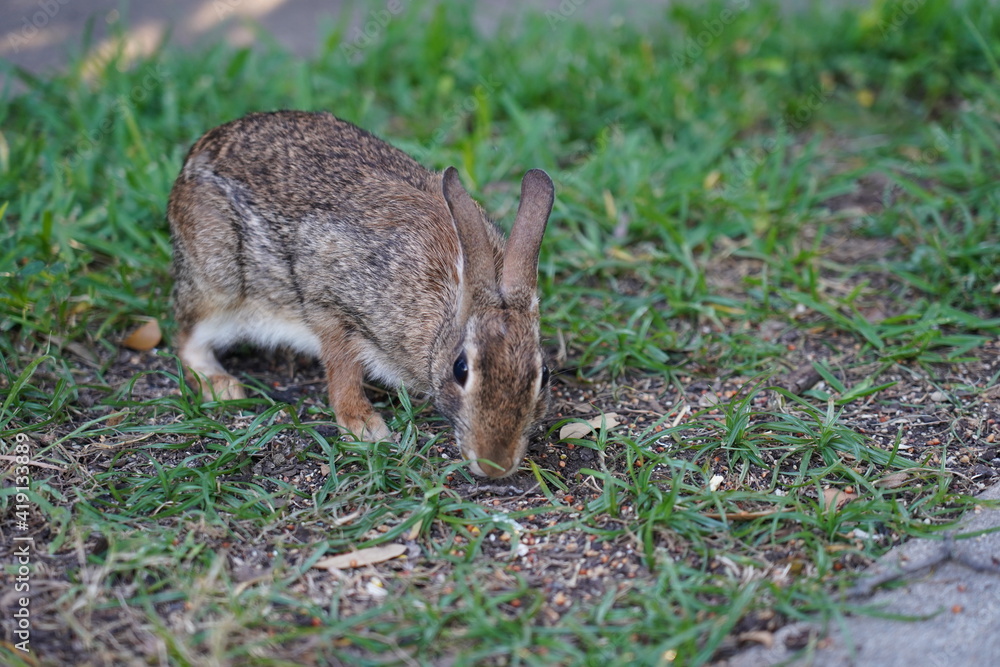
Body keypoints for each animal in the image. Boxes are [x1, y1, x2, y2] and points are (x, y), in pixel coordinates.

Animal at [168, 110, 554, 478]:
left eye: (544, 374)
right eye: (461, 369)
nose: (495, 466)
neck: (446, 306)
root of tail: (190, 164)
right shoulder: (331, 302)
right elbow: (342, 369)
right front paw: (364, 428)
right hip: (220, 284)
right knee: (186, 337)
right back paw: (222, 386)